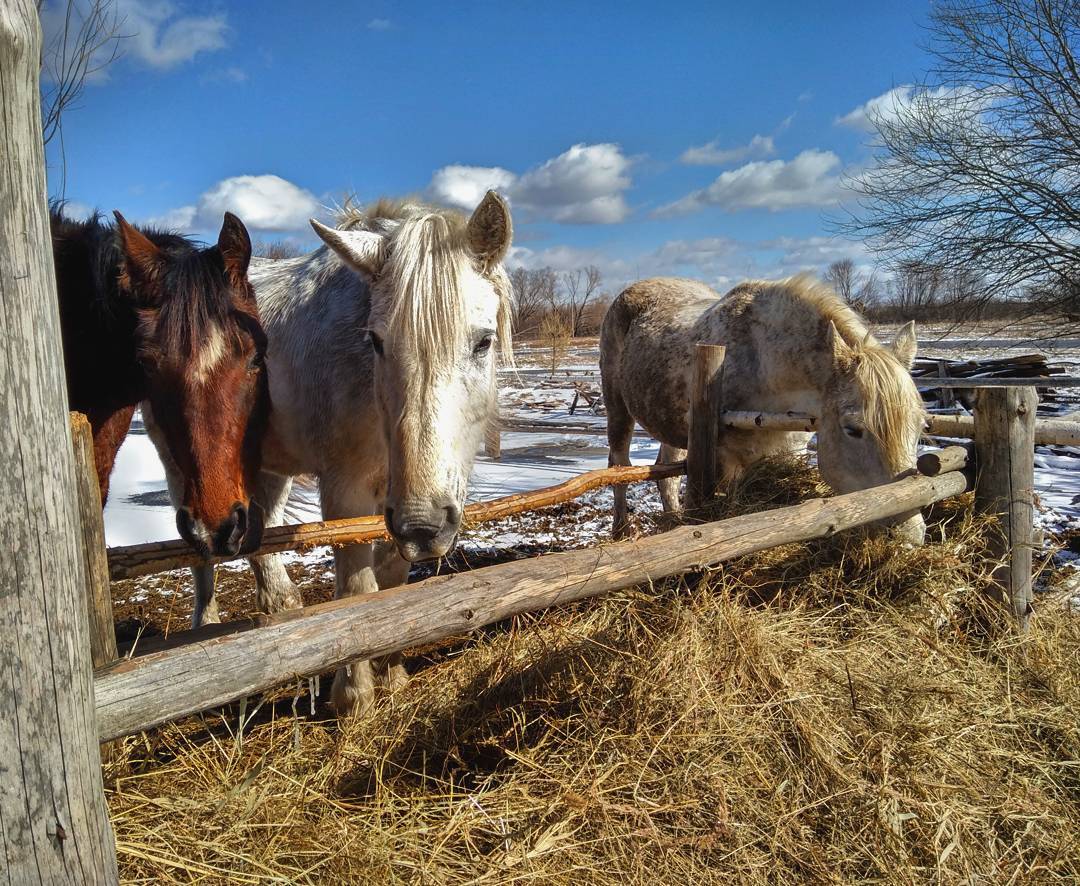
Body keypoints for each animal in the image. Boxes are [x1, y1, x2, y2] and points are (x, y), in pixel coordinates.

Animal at [168, 192, 514, 713]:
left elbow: (392, 577)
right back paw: (206, 628)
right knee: (200, 546)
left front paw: (391, 673)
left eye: (483, 341)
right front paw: (353, 696)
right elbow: (357, 586)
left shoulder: (401, 497)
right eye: (375, 341)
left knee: (260, 532)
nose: (424, 525)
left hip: (269, 465)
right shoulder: (347, 492)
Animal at [600, 275, 928, 540]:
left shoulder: (788, 449)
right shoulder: (727, 461)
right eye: (852, 429)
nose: (909, 536)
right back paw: (621, 531)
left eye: (921, 427)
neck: (762, 363)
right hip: (617, 409)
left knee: (665, 475)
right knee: (619, 464)